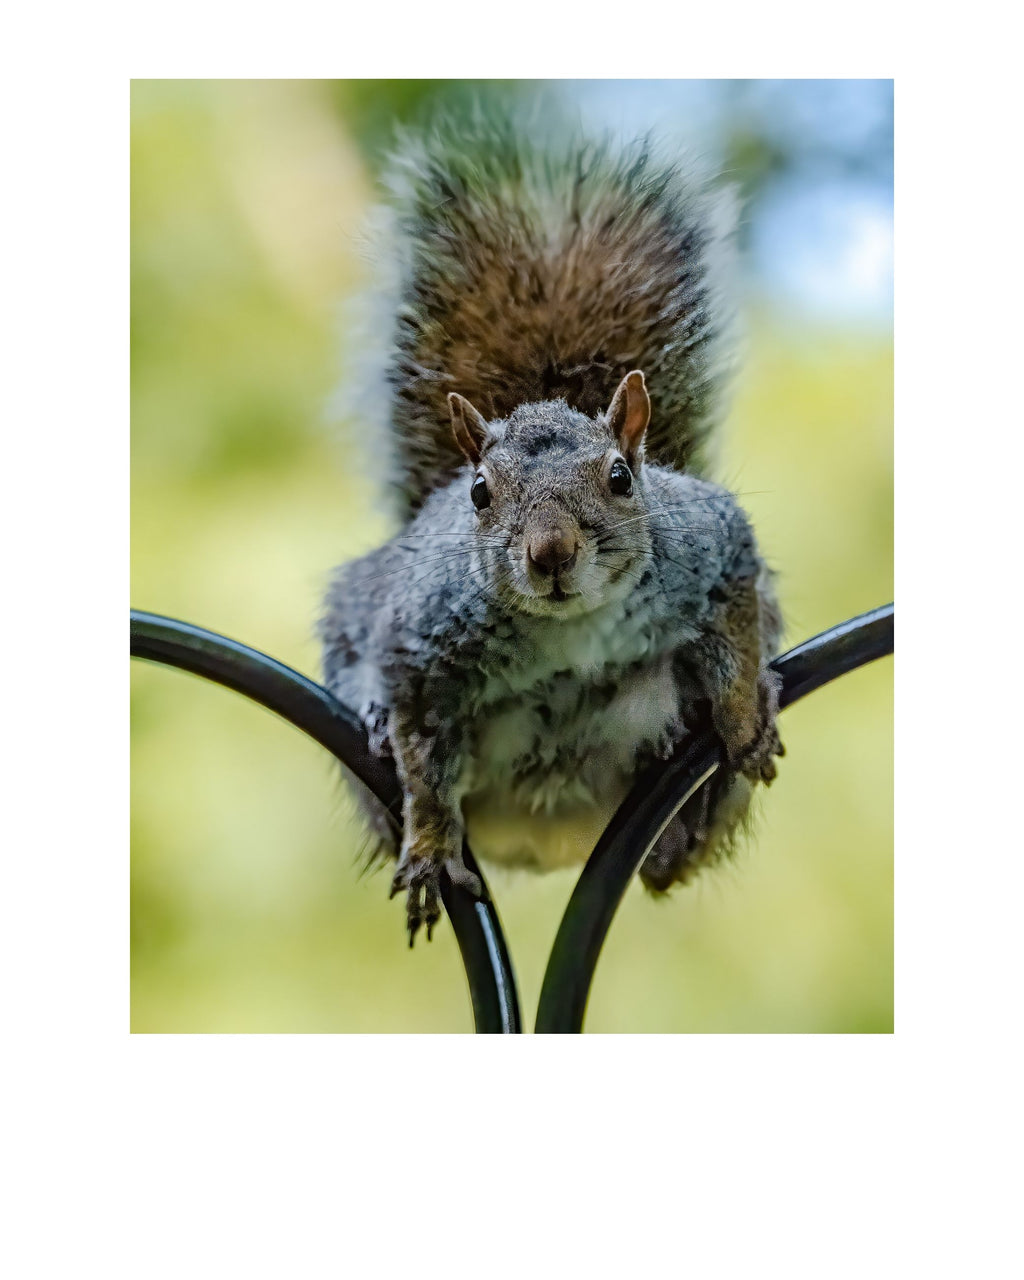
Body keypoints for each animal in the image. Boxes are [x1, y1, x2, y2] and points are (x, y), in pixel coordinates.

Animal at [320, 114, 784, 944]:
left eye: (621, 478)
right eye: (479, 493)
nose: (551, 553)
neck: (569, 627)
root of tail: (548, 842)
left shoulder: (711, 547)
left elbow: (732, 626)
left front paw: (739, 721)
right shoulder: (421, 642)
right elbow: (423, 760)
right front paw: (431, 846)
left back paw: (674, 831)